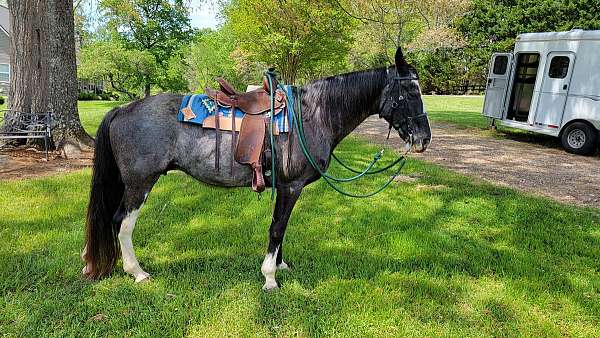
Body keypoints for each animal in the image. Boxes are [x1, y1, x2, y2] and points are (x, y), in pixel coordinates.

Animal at [82, 46, 432, 290]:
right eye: (409, 92)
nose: (424, 138)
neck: (313, 115)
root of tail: (123, 108)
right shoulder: (291, 186)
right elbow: (277, 227)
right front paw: (269, 278)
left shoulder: (288, 188)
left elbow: (283, 227)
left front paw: (280, 266)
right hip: (140, 183)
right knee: (122, 222)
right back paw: (137, 272)